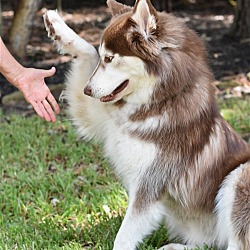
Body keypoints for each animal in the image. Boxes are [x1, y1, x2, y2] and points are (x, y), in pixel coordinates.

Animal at [43, 0, 250, 249]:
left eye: (110, 59)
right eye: (103, 57)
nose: (88, 90)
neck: (158, 102)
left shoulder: (149, 186)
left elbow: (124, 236)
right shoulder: (97, 117)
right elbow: (87, 53)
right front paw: (58, 27)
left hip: (240, 175)